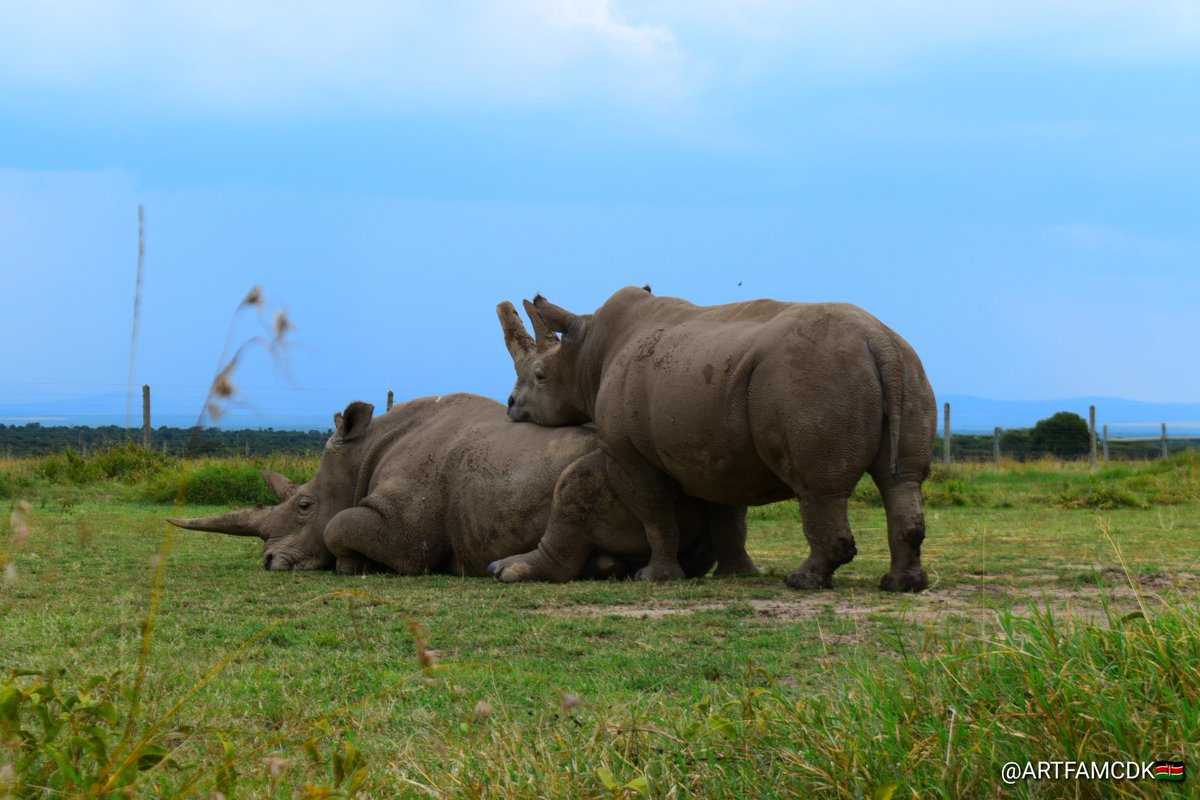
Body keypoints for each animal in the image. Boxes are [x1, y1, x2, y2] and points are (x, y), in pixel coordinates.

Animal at [169, 392, 749, 581]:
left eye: (305, 504)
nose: (269, 561)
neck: (360, 453)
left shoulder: (408, 532)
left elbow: (341, 525)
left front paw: (353, 565)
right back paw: (609, 569)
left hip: (625, 465)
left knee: (576, 484)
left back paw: (507, 572)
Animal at [498, 286, 937, 592]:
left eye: (539, 376)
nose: (511, 406)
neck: (586, 354)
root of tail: (877, 340)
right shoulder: (716, 448)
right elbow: (727, 517)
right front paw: (737, 574)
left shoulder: (626, 454)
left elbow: (655, 515)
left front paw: (654, 578)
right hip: (907, 366)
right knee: (902, 480)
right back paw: (901, 585)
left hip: (815, 376)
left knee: (820, 489)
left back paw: (802, 582)